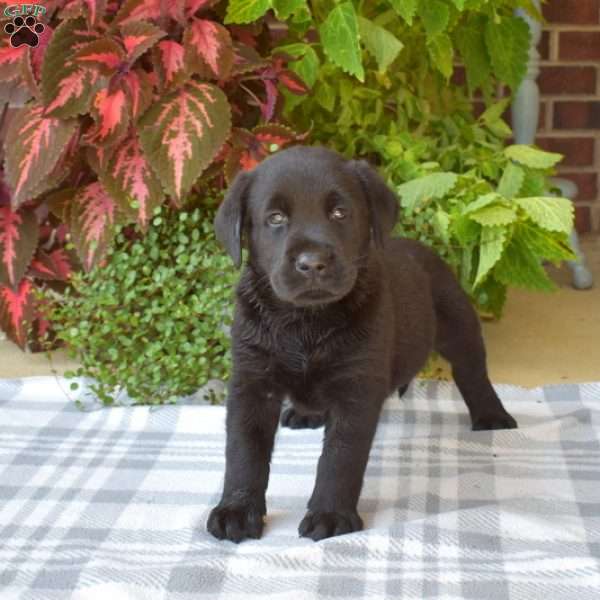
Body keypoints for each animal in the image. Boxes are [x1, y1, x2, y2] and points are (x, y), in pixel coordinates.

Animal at [206, 145, 516, 544]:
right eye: (275, 218)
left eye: (340, 212)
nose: (313, 263)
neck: (306, 323)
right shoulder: (252, 382)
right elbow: (243, 452)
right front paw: (236, 510)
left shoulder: (357, 388)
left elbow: (341, 457)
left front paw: (330, 514)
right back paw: (306, 413)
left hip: (458, 324)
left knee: (473, 372)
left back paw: (492, 415)